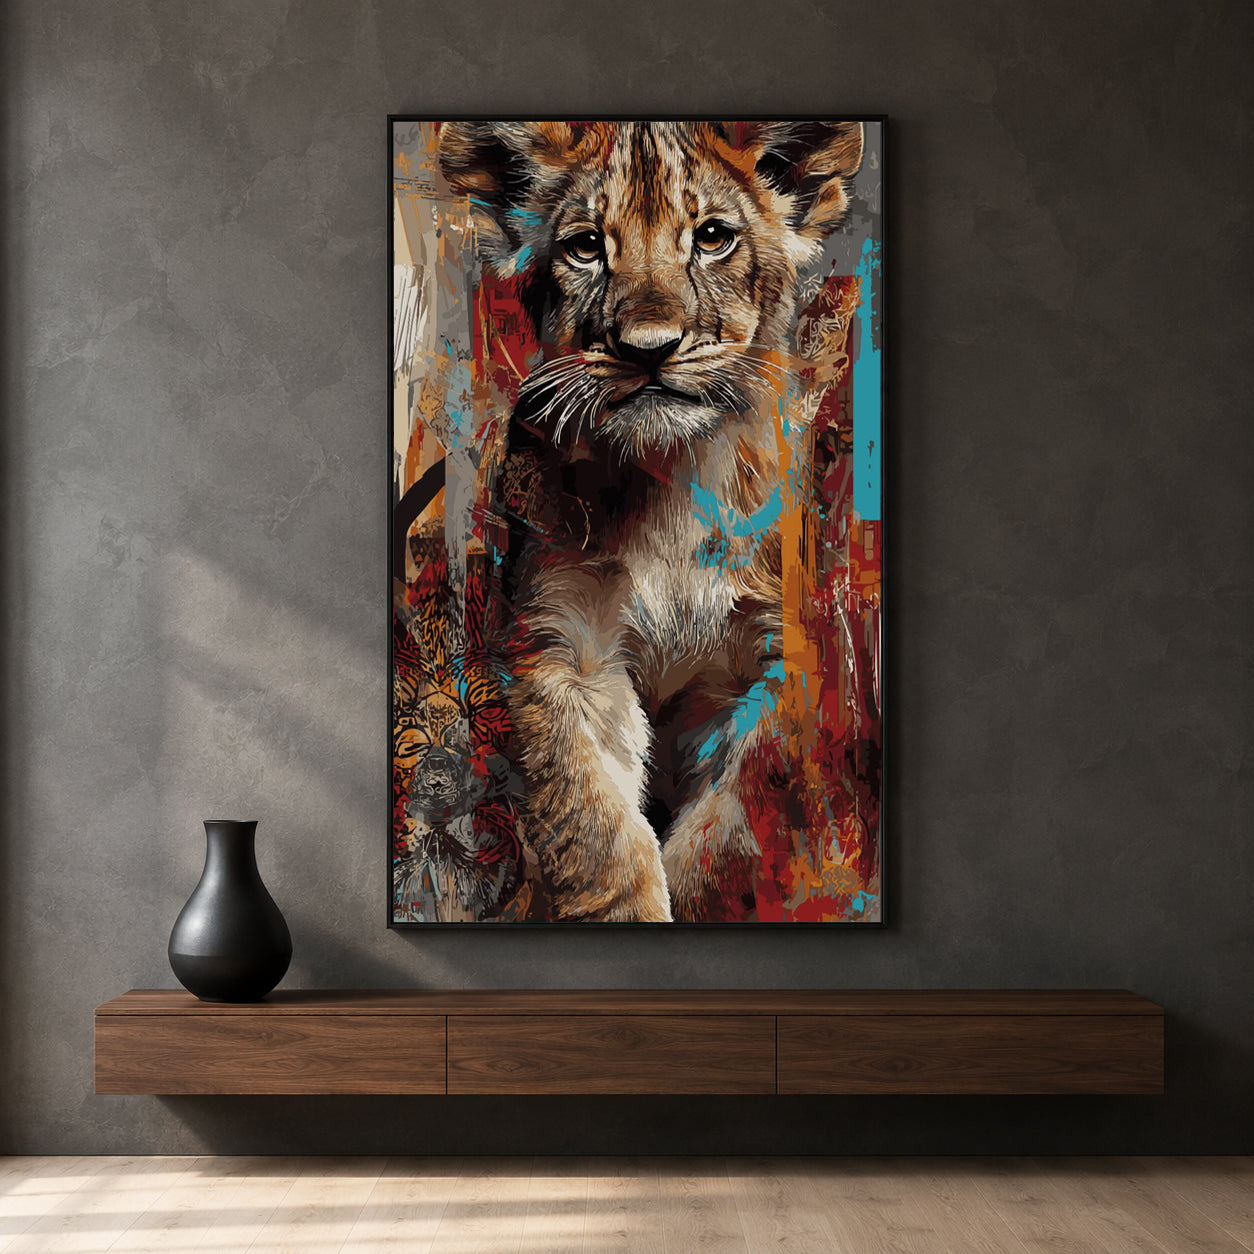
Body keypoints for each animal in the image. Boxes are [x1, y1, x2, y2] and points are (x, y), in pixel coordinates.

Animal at [438, 120, 864, 921]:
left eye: (712, 237)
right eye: (585, 247)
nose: (648, 348)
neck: (670, 481)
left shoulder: (766, 663)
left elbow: (727, 839)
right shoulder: (566, 649)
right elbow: (596, 831)